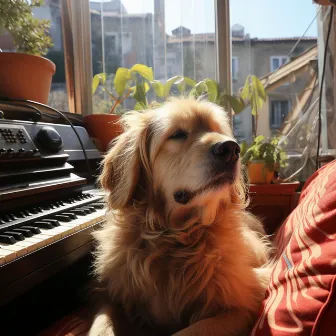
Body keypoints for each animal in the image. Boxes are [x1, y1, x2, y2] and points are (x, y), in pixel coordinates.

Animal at [89, 97, 272, 336]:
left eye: (217, 130)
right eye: (177, 134)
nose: (231, 148)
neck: (177, 237)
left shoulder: (243, 304)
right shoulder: (112, 296)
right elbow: (100, 325)